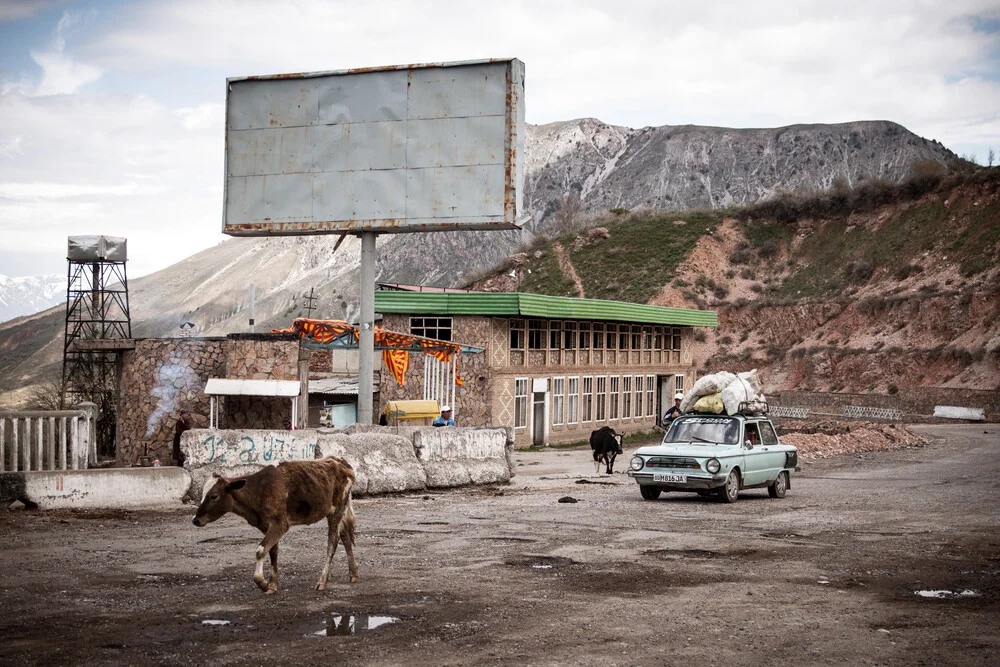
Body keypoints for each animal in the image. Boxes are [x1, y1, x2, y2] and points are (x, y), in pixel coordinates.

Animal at [191, 460, 360, 596]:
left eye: (214, 496)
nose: (195, 520)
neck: (259, 491)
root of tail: (340, 461)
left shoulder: (280, 524)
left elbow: (260, 551)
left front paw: (262, 583)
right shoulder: (266, 526)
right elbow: (272, 551)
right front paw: (272, 584)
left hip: (336, 511)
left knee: (333, 542)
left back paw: (322, 581)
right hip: (339, 512)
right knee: (345, 537)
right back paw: (353, 574)